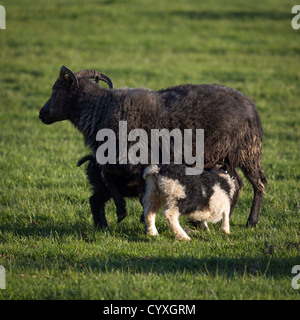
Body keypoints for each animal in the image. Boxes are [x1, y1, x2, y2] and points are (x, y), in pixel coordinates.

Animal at [39, 65, 268, 228]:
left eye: (55, 90)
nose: (41, 114)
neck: (99, 109)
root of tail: (250, 105)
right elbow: (111, 178)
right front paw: (129, 214)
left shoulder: (134, 159)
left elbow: (135, 190)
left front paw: (129, 213)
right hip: (227, 157)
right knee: (238, 183)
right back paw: (227, 215)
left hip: (249, 151)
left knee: (259, 184)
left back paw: (252, 222)